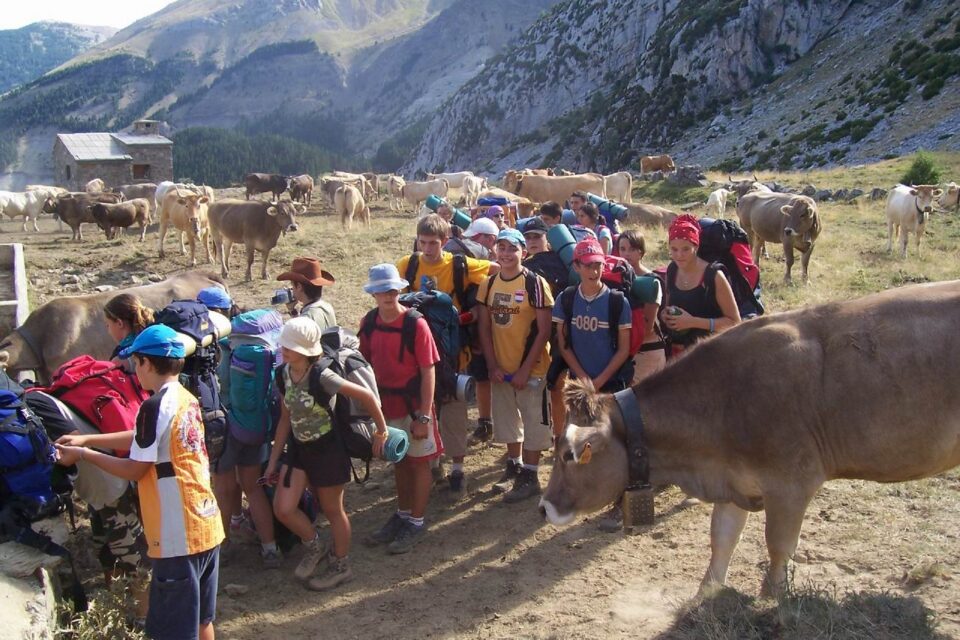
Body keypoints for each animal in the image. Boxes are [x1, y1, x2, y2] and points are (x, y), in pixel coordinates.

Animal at [540, 282, 960, 596]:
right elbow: (722, 538)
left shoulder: (792, 483)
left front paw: (773, 597)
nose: (544, 508)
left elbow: (778, 546)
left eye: (570, 455)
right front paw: (706, 592)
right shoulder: (733, 480)